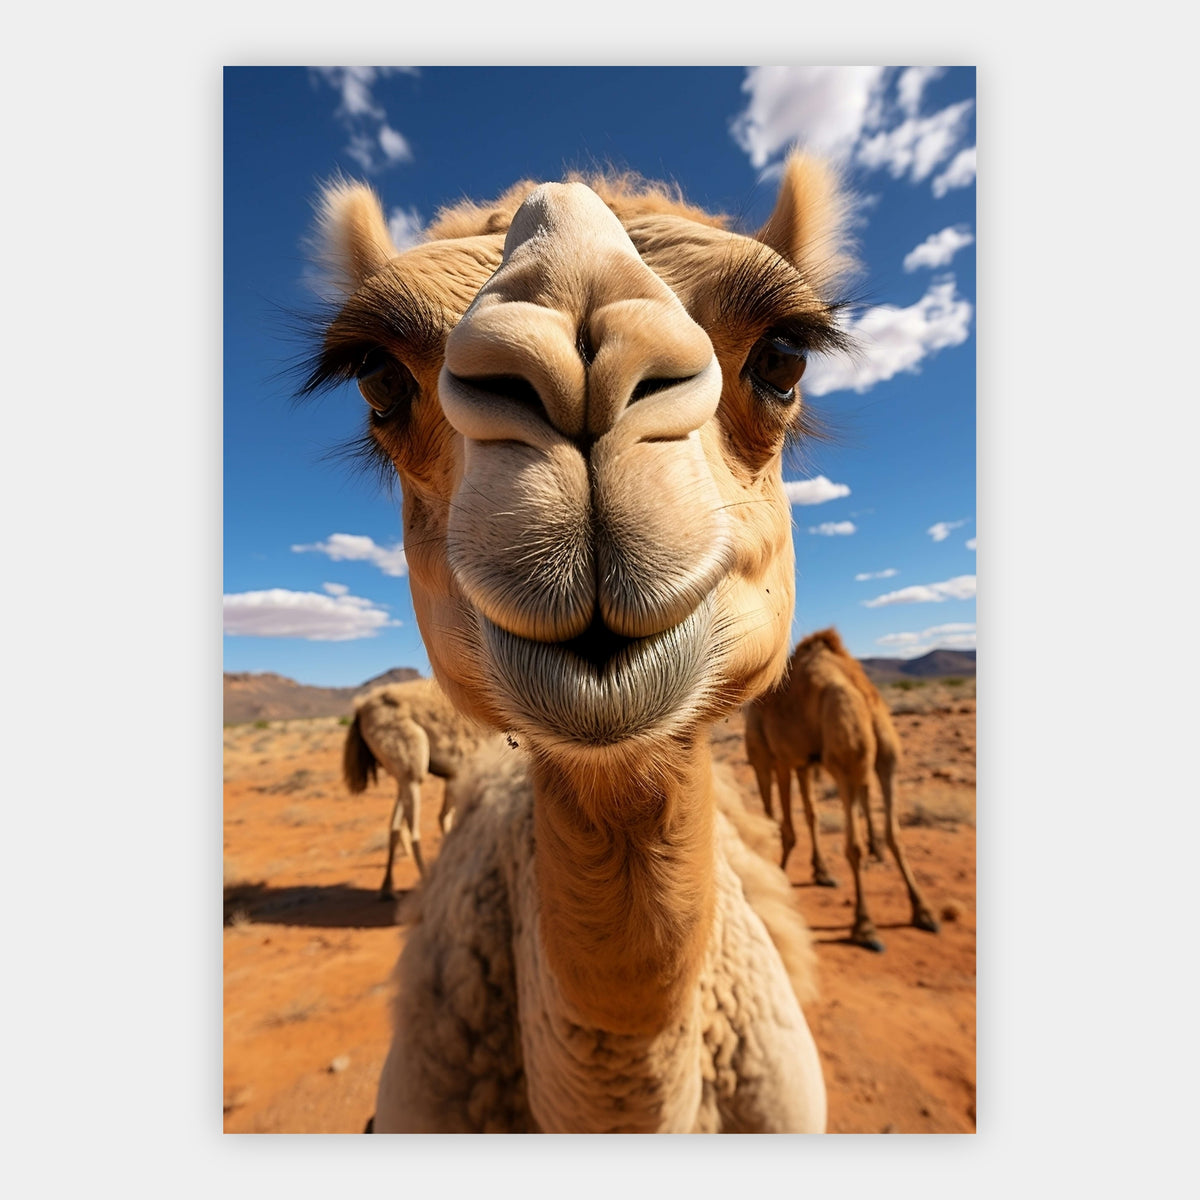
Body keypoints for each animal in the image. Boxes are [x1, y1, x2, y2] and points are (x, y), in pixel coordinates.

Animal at [343, 677, 502, 896]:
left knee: (395, 825)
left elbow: (446, 819)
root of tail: (360, 710)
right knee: (413, 828)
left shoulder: (456, 776)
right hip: (412, 769)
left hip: (403, 775)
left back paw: (387, 888)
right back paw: (423, 882)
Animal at [744, 628, 940, 952]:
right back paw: (923, 912)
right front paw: (818, 872)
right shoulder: (802, 761)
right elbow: (810, 815)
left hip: (842, 758)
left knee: (853, 845)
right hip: (886, 755)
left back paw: (864, 926)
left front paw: (778, 873)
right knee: (893, 833)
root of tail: (862, 692)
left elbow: (779, 823)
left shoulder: (774, 758)